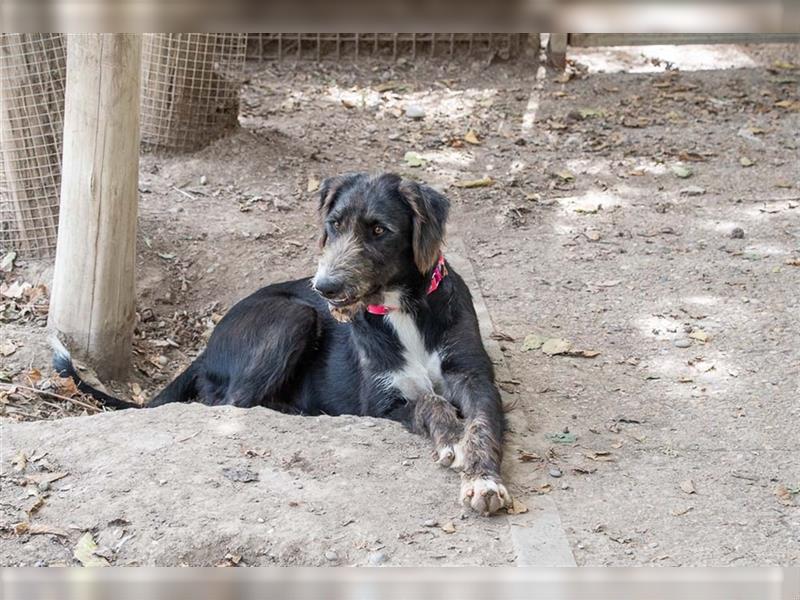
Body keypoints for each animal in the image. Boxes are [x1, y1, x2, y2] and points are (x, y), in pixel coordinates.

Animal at [53, 171, 510, 512]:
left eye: (380, 230)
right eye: (334, 224)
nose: (324, 287)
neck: (403, 310)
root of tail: (204, 351)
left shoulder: (474, 378)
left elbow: (482, 425)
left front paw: (483, 481)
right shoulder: (381, 401)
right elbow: (429, 402)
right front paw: (451, 435)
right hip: (294, 317)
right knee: (230, 402)